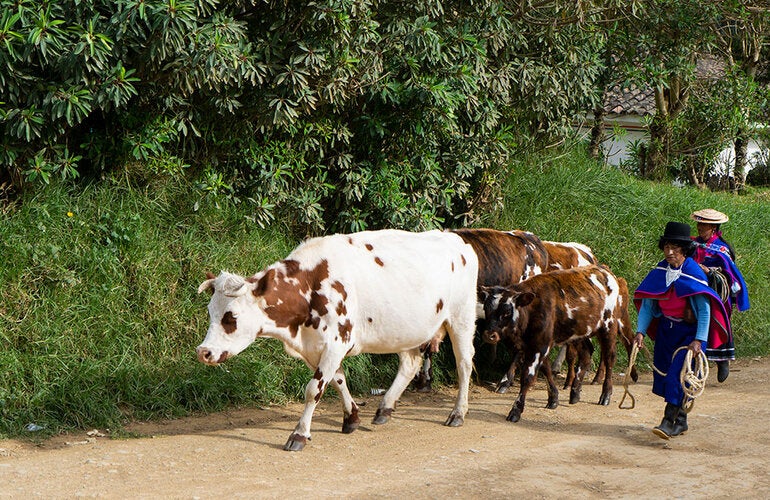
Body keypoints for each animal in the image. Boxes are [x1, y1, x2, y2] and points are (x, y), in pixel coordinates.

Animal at [196, 229, 479, 451]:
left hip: (461, 319)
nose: (203, 352)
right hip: (406, 331)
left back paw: (457, 413)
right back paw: (384, 408)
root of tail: (456, 239)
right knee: (410, 364)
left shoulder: (335, 342)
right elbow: (337, 380)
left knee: (464, 364)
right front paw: (351, 418)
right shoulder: (317, 348)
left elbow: (313, 390)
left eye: (231, 316)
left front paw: (299, 434)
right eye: (210, 312)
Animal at [480, 265, 630, 423]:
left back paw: (605, 394)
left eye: (507, 312)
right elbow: (546, 370)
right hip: (579, 333)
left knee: (609, 358)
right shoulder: (536, 344)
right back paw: (575, 392)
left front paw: (516, 410)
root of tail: (603, 269)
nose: (489, 335)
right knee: (586, 354)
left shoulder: (539, 346)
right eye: (486, 308)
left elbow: (528, 377)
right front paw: (553, 398)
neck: (533, 309)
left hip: (608, 327)